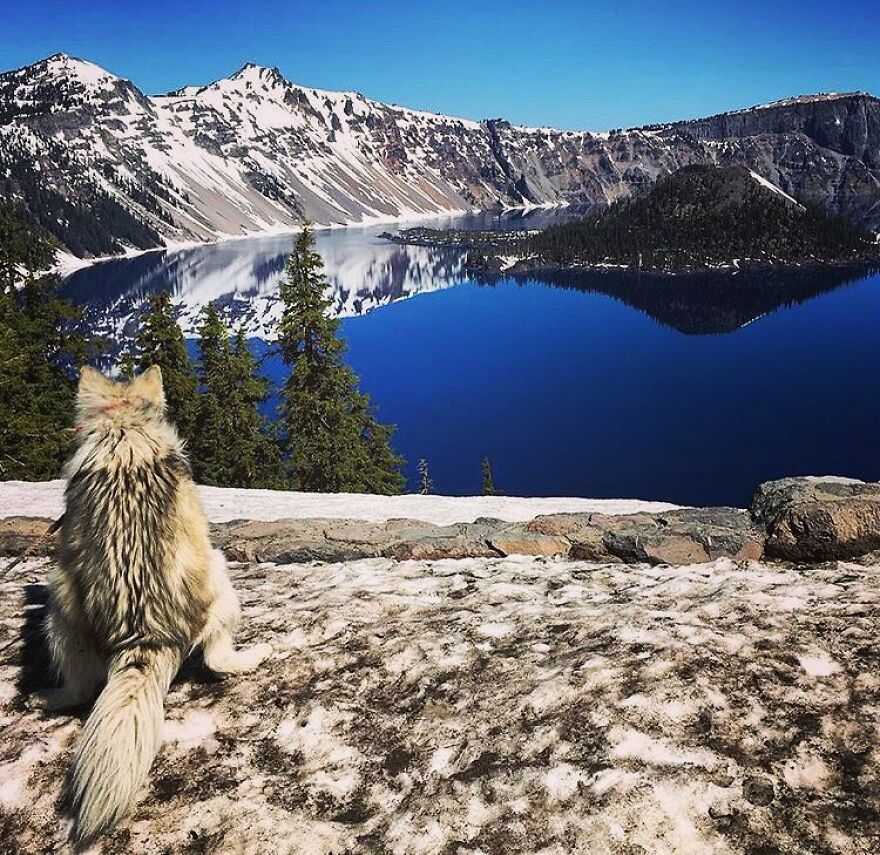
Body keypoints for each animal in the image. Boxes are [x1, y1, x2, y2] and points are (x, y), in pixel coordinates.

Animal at [44, 366, 270, 844]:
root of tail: (144, 634)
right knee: (219, 659)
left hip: (60, 603)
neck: (123, 424)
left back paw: (51, 698)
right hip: (221, 573)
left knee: (81, 687)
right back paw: (258, 654)